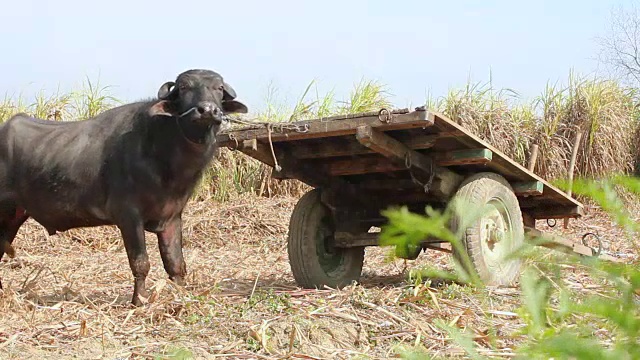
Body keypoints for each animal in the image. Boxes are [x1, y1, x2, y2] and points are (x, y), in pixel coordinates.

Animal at [0, 69, 248, 306]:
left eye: (218, 88)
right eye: (184, 87)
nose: (207, 110)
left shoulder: (172, 216)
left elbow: (175, 263)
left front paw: (181, 295)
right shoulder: (128, 216)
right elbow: (140, 262)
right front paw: (139, 300)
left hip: (15, 214)